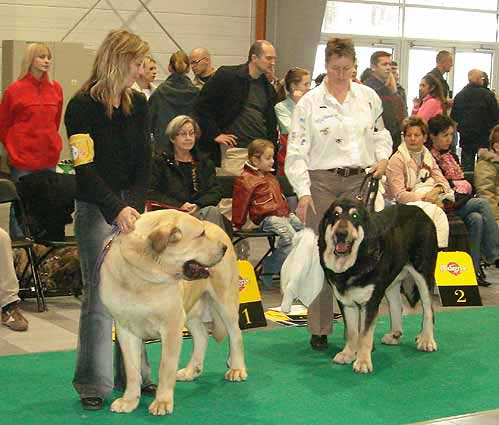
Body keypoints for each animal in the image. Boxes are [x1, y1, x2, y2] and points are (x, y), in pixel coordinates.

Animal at [100, 209, 248, 414]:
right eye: (201, 235)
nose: (224, 248)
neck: (141, 275)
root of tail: (218, 227)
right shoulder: (125, 330)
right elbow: (132, 370)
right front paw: (129, 400)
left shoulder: (171, 326)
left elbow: (165, 367)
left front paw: (162, 401)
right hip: (191, 310)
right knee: (201, 335)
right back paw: (191, 370)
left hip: (225, 301)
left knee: (236, 335)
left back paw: (236, 368)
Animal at [318, 197, 440, 372]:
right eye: (336, 214)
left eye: (355, 217)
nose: (341, 234)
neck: (353, 263)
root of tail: (422, 212)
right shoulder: (346, 302)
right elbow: (352, 332)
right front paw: (348, 354)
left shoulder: (370, 302)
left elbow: (364, 335)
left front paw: (362, 361)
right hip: (391, 280)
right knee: (397, 305)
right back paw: (395, 334)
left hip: (423, 273)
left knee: (429, 310)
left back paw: (426, 340)